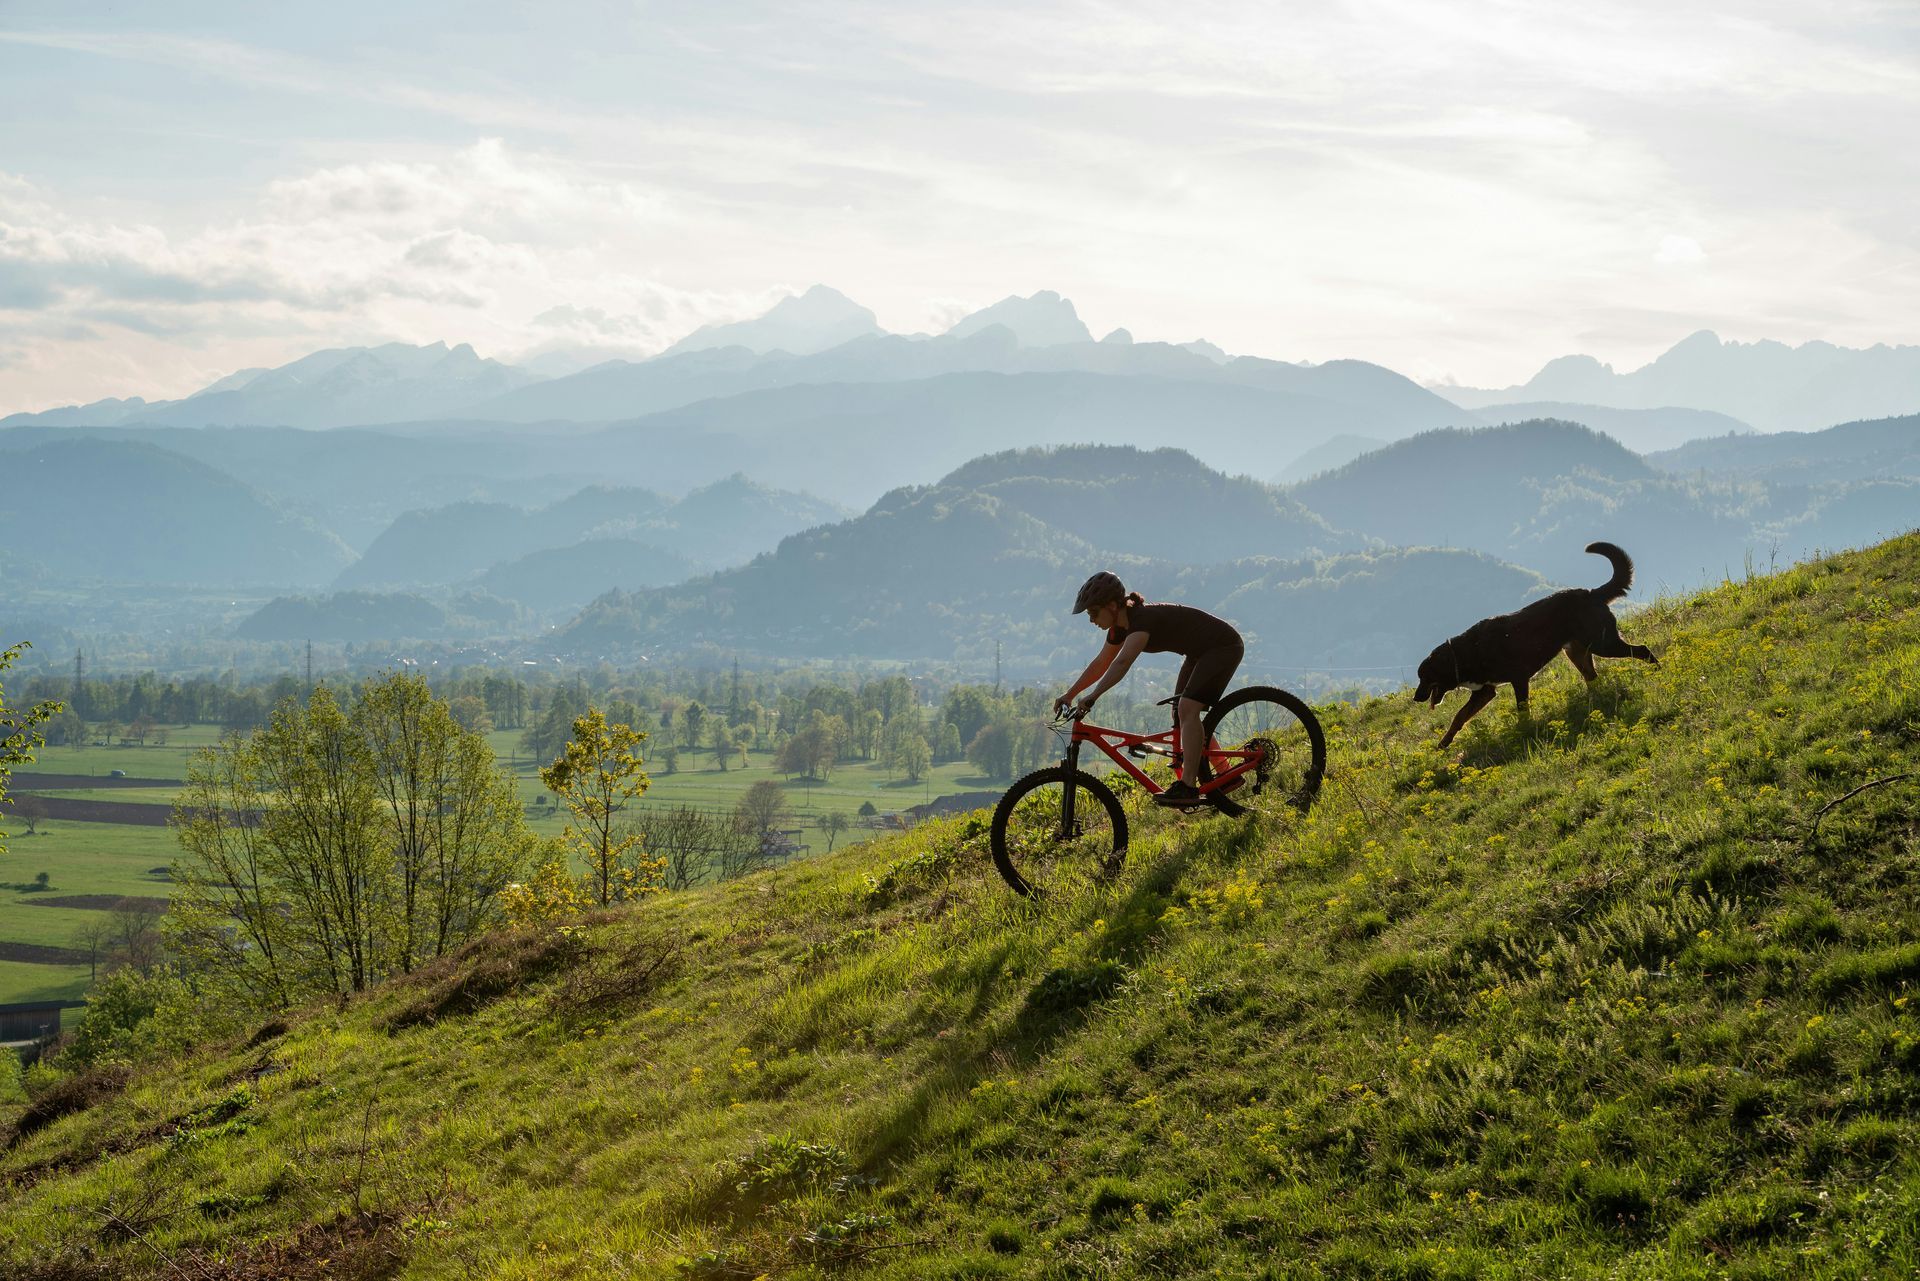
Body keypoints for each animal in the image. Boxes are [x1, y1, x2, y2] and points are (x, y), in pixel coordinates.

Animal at [1413, 545, 1666, 752]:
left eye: (1424, 677)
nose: (1416, 698)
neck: (1462, 654)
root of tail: (1591, 593)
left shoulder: (1518, 679)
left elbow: (1521, 710)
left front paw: (1523, 730)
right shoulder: (1484, 692)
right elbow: (1459, 717)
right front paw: (1443, 743)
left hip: (1604, 644)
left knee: (1643, 650)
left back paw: (1658, 672)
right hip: (1576, 652)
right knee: (1593, 678)